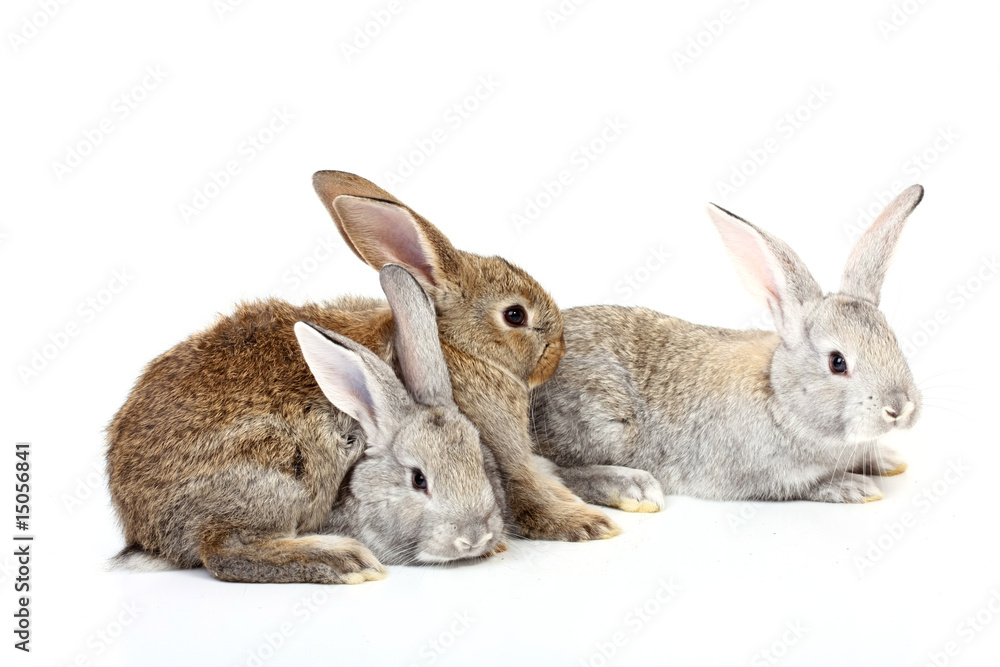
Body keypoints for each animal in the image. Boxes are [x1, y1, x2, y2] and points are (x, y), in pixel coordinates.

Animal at [108, 265, 506, 583]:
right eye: (418, 480)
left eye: (483, 464)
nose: (474, 537)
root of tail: (144, 530)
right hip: (272, 470)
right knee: (226, 550)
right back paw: (345, 562)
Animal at [530, 185, 926, 508]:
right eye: (837, 362)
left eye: (893, 341)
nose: (899, 408)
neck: (779, 395)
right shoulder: (762, 477)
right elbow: (808, 486)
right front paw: (853, 487)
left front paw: (887, 458)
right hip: (602, 420)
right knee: (555, 471)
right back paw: (632, 488)